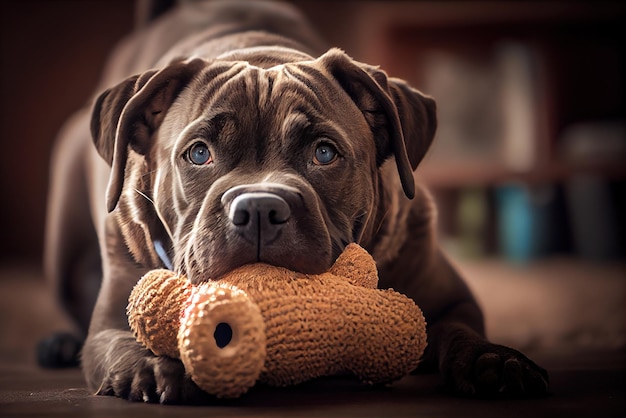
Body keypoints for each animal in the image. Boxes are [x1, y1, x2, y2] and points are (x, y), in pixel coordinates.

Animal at [42, 0, 544, 404]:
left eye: (324, 152)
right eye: (199, 153)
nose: (259, 209)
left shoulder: (451, 299)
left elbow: (462, 331)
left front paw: (495, 361)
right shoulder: (112, 318)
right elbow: (120, 341)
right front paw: (151, 366)